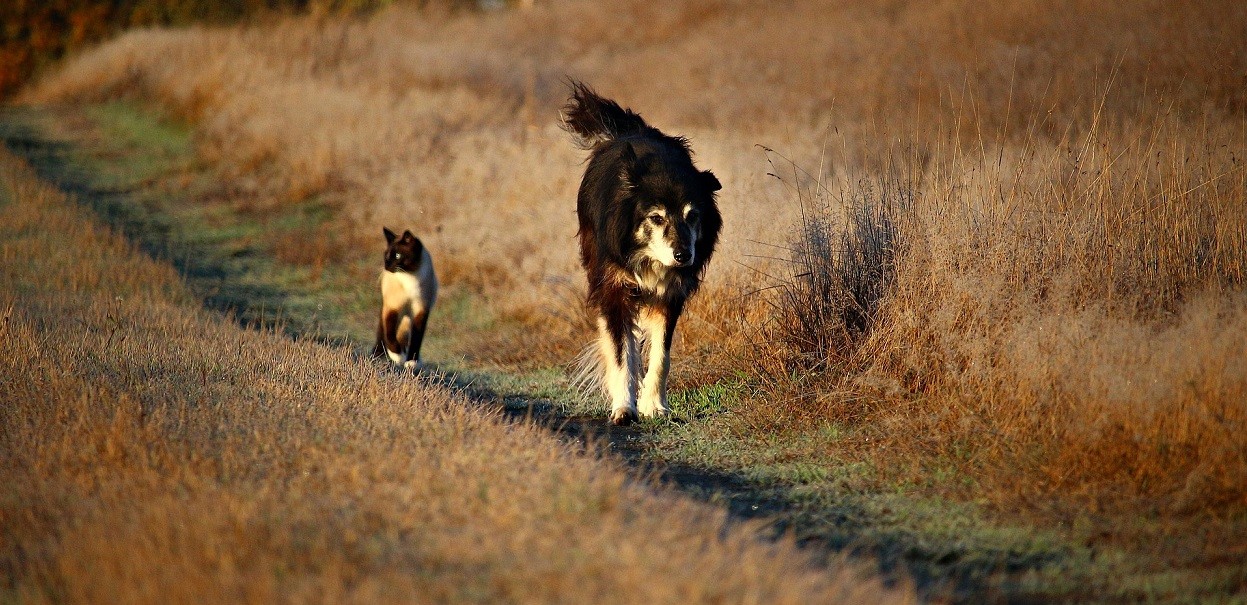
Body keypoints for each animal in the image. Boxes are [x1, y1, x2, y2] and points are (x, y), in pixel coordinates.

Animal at [369, 227, 438, 366]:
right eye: (386, 256)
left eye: (397, 256)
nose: (387, 267)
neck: (410, 277)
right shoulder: (393, 309)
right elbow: (389, 335)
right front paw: (398, 356)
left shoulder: (420, 311)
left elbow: (416, 339)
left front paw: (411, 361)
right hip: (390, 309)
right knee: (382, 332)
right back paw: (378, 355)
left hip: (408, 318)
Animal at [563, 81, 728, 424]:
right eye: (657, 218)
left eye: (693, 216)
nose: (683, 256)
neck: (648, 259)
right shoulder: (614, 286)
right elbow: (620, 352)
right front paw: (624, 409)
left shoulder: (670, 295)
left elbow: (661, 354)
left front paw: (655, 406)